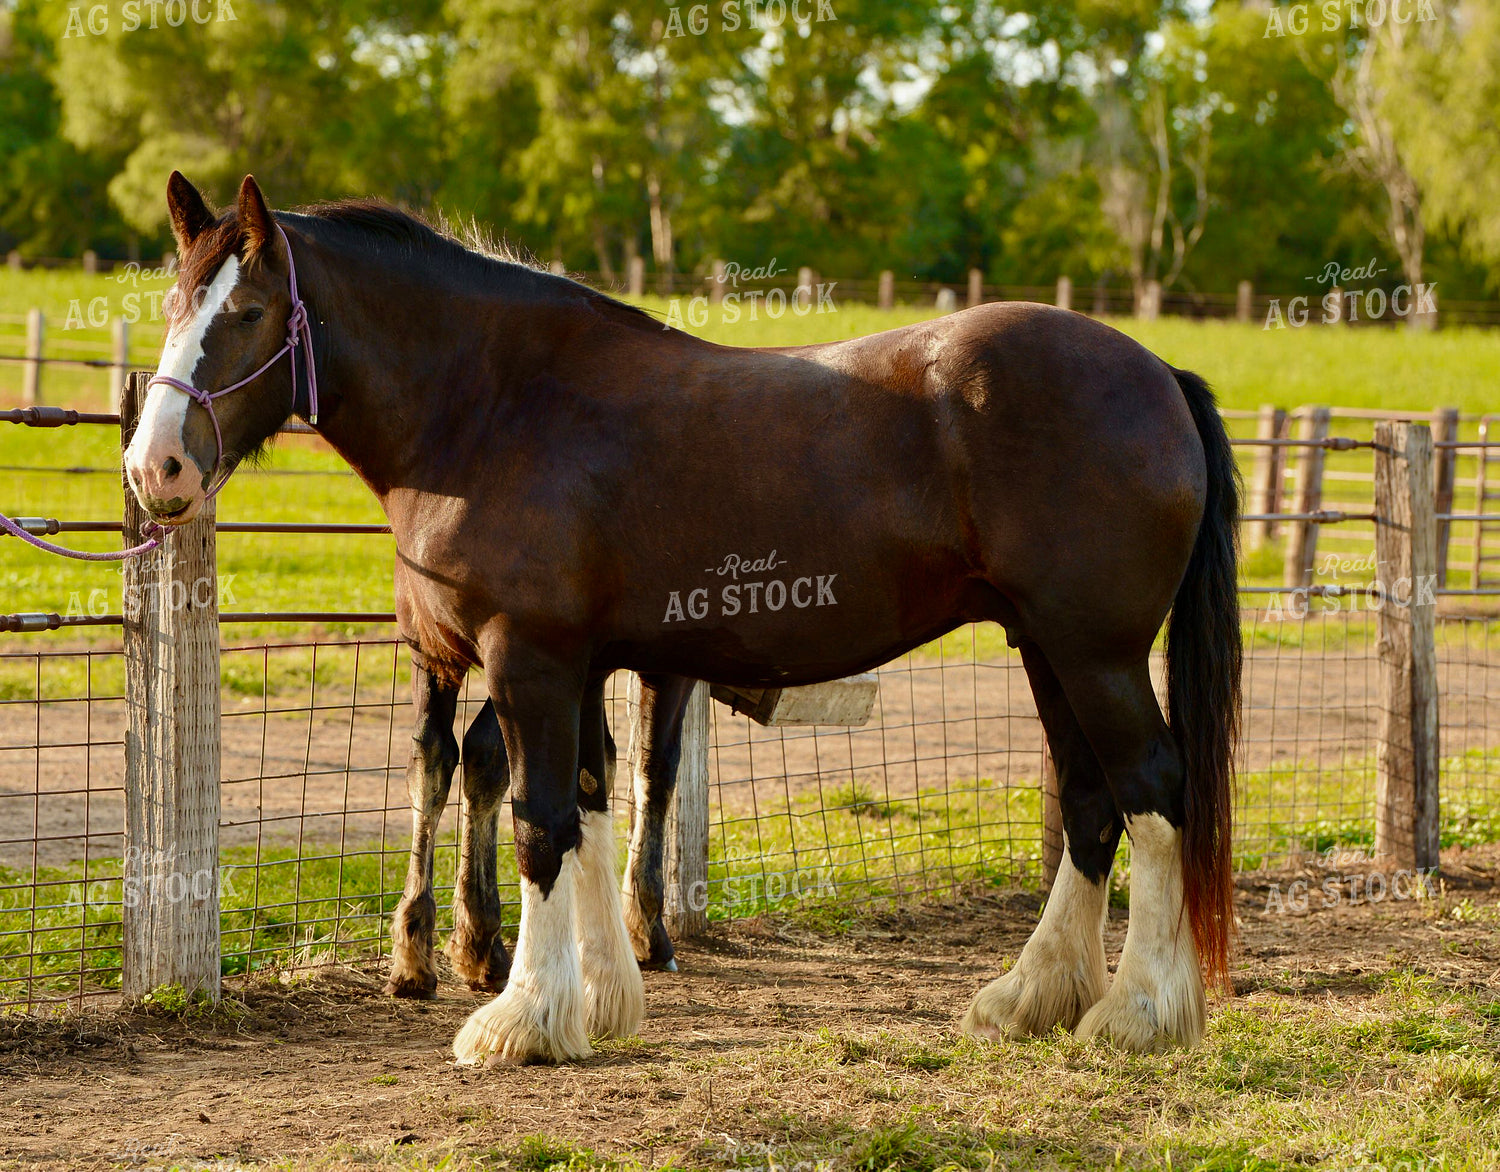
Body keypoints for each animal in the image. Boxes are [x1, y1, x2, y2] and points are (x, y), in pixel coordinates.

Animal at [125, 172, 1241, 1065]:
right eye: (176, 301)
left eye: (250, 311)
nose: (155, 467)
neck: (494, 404)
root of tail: (1159, 375)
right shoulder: (578, 664)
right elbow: (588, 805)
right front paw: (597, 1001)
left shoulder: (527, 659)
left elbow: (538, 822)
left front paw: (518, 1020)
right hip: (1048, 648)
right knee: (1093, 804)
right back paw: (1029, 998)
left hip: (1095, 652)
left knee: (1152, 790)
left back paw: (1138, 1014)